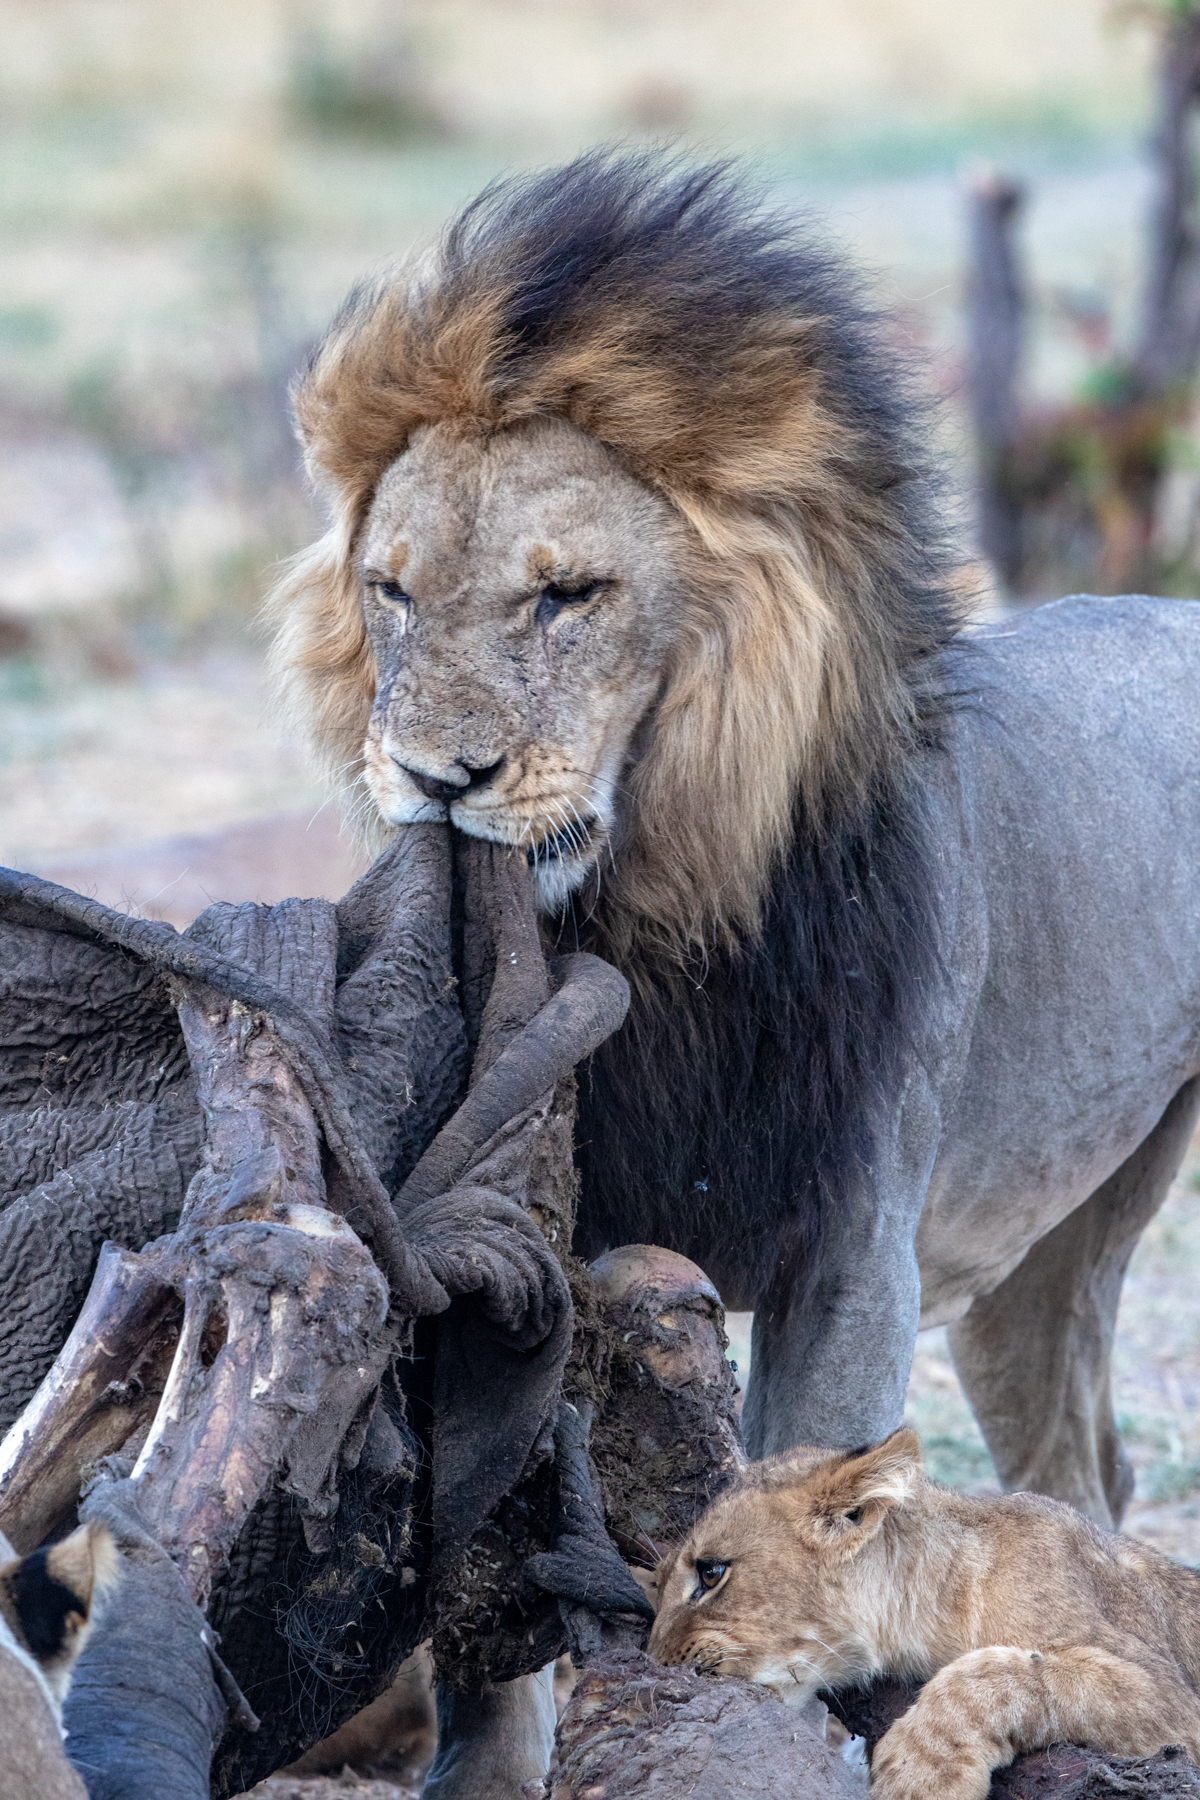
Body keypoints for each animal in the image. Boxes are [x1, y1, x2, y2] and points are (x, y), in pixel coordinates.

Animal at [651, 1432, 1200, 1800]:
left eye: (711, 1571)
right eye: (657, 1582)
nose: (655, 1660)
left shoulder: (1174, 1701)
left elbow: (999, 1673)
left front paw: (919, 1777)